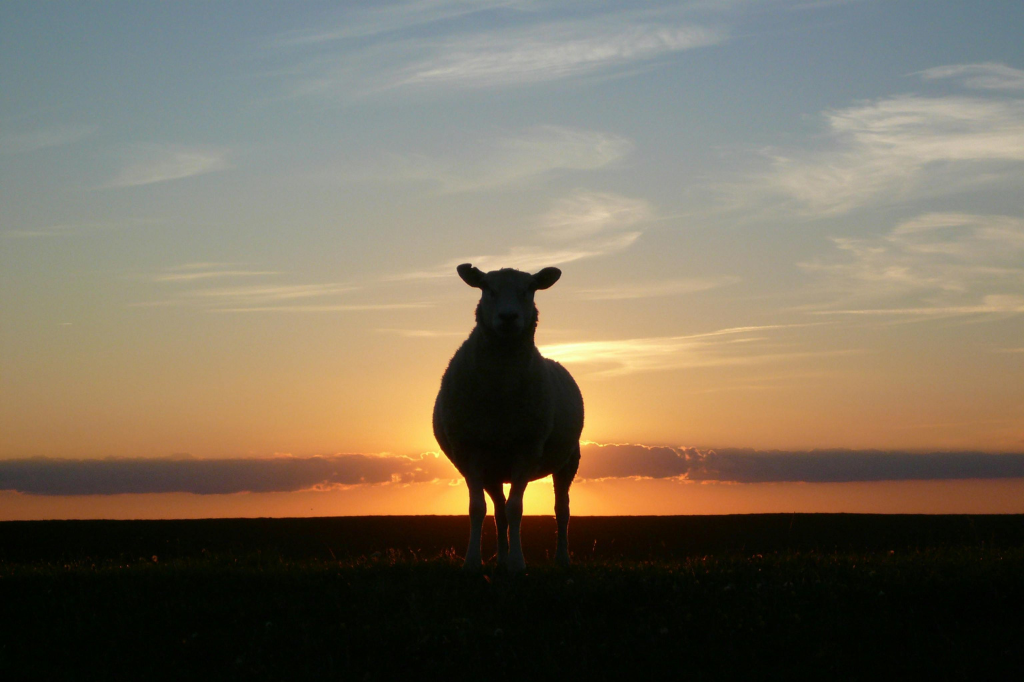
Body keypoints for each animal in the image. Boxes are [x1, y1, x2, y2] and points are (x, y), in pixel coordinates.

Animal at [432, 262, 585, 569]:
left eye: (530, 289)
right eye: (487, 288)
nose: (508, 317)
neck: (499, 390)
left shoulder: (526, 449)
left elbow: (516, 509)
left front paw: (517, 562)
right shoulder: (470, 451)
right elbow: (477, 509)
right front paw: (473, 562)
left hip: (568, 461)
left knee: (561, 510)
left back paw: (562, 558)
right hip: (493, 469)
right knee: (498, 512)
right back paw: (500, 560)